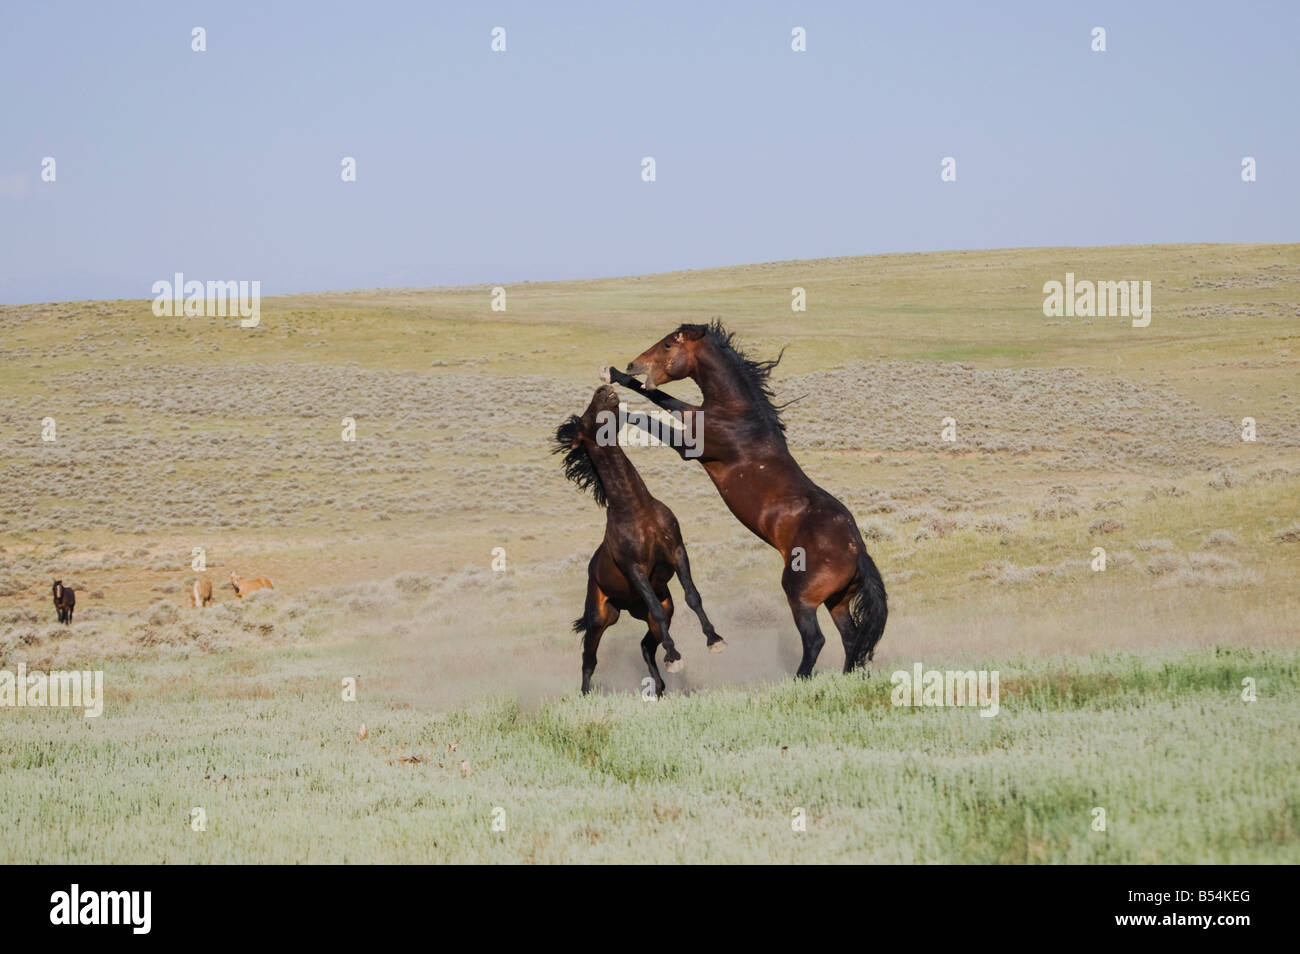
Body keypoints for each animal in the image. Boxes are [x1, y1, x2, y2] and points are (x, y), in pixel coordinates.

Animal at [553, 384, 728, 696]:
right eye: (586, 416)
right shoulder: (634, 569)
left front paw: (714, 640)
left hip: (651, 611)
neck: (637, 509)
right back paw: (586, 696)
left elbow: (693, 596)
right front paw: (676, 656)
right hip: (600, 618)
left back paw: (659, 686)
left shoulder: (677, 550)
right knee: (589, 658)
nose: (603, 389)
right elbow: (656, 609)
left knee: (646, 646)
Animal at [603, 323, 889, 681]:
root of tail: (858, 552)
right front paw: (614, 377)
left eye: (668, 344)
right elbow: (662, 398)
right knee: (850, 638)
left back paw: (794, 682)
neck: (739, 415)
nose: (632, 365)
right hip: (836, 601)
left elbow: (657, 411)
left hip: (800, 594)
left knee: (816, 640)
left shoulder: (690, 445)